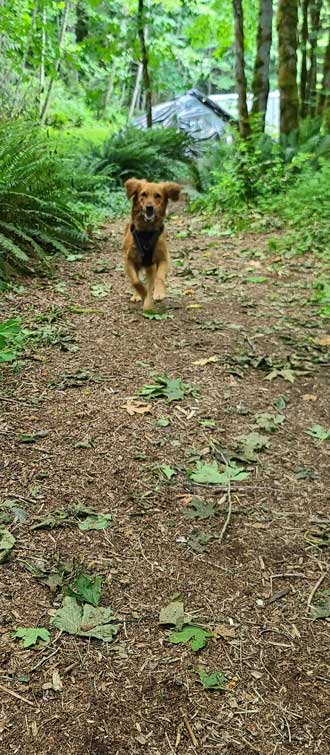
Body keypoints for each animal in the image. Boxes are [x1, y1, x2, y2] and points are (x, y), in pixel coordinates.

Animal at [123, 177, 180, 310]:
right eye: (143, 194)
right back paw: (138, 296)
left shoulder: (162, 258)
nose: (149, 207)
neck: (146, 231)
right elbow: (135, 281)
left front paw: (158, 293)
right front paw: (142, 293)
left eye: (157, 196)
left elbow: (159, 277)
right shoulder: (129, 260)